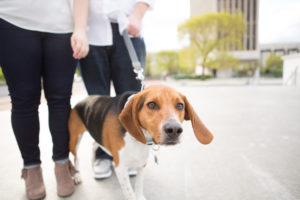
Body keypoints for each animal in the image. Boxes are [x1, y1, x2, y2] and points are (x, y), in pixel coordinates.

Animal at [68, 85, 213, 199]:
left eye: (180, 105)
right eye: (151, 104)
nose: (174, 129)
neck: (141, 137)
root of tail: (84, 99)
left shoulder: (142, 163)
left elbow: (139, 185)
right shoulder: (120, 167)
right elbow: (130, 193)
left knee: (94, 145)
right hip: (74, 139)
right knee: (76, 157)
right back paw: (77, 176)